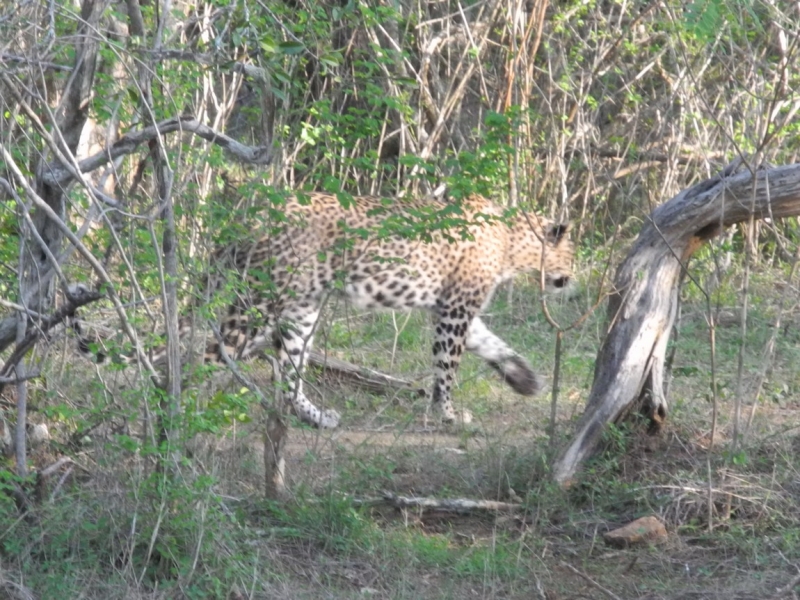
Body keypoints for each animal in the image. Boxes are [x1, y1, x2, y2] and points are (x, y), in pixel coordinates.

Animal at [78, 190, 572, 428]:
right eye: (574, 253)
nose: (574, 277)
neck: (512, 242)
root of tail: (249, 215)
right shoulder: (454, 309)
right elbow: (447, 367)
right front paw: (448, 416)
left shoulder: (451, 308)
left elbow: (490, 344)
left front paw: (524, 379)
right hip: (258, 304)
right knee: (209, 352)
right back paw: (173, 410)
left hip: (300, 309)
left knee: (286, 371)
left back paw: (314, 417)